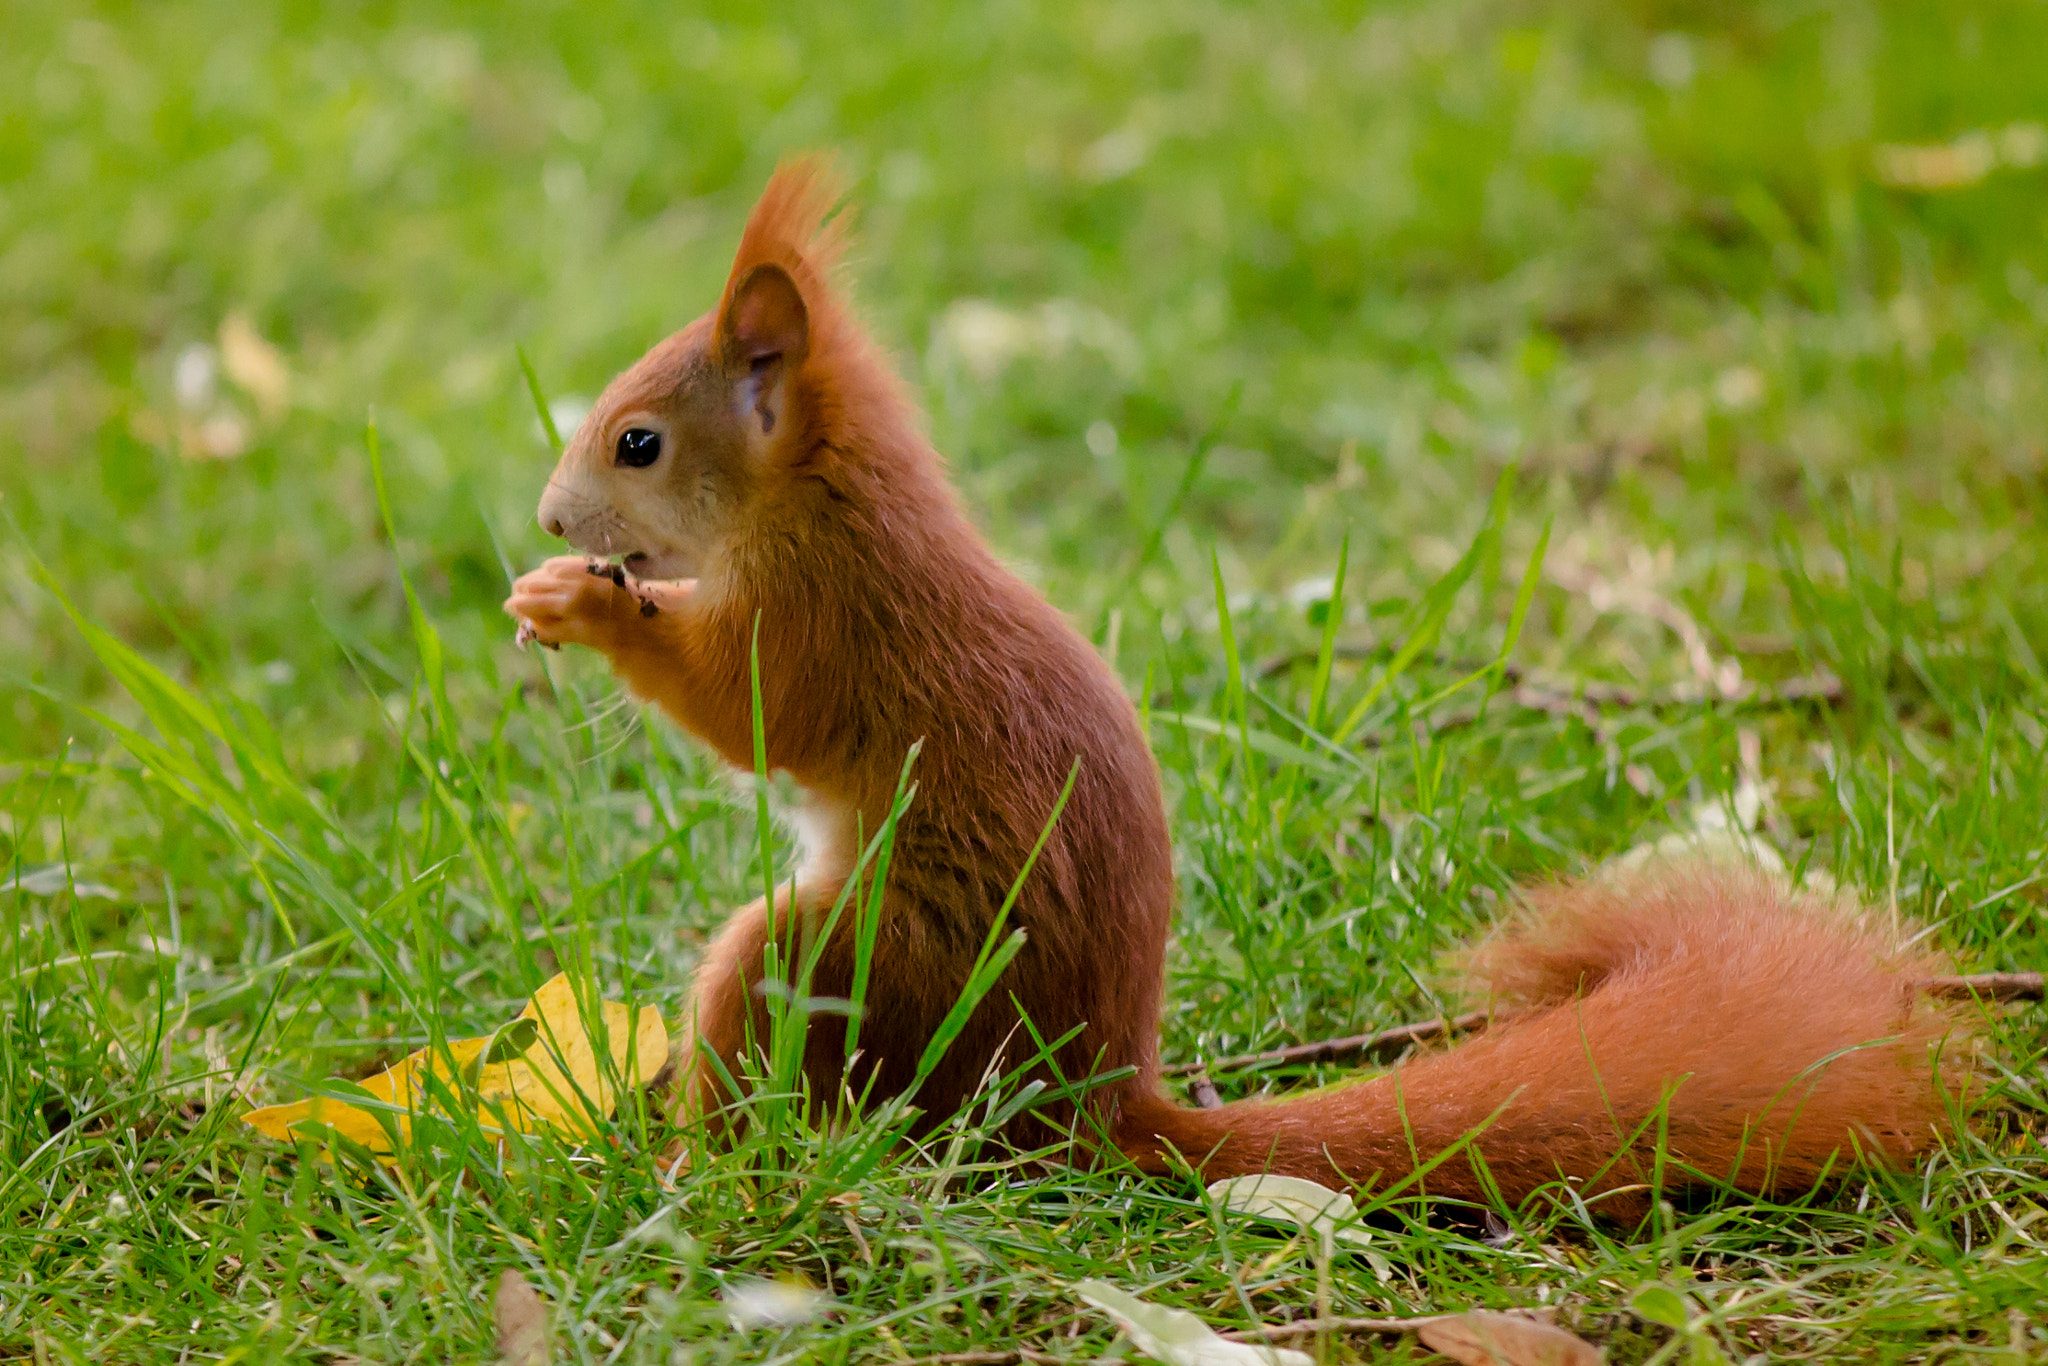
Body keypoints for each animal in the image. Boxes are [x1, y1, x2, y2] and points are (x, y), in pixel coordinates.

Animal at [506, 158, 1966, 1213]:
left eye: (637, 442)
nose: (548, 517)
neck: (827, 500)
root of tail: (1091, 1102)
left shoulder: (829, 622)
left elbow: (746, 710)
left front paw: (586, 606)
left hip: (864, 961)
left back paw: (685, 1163)